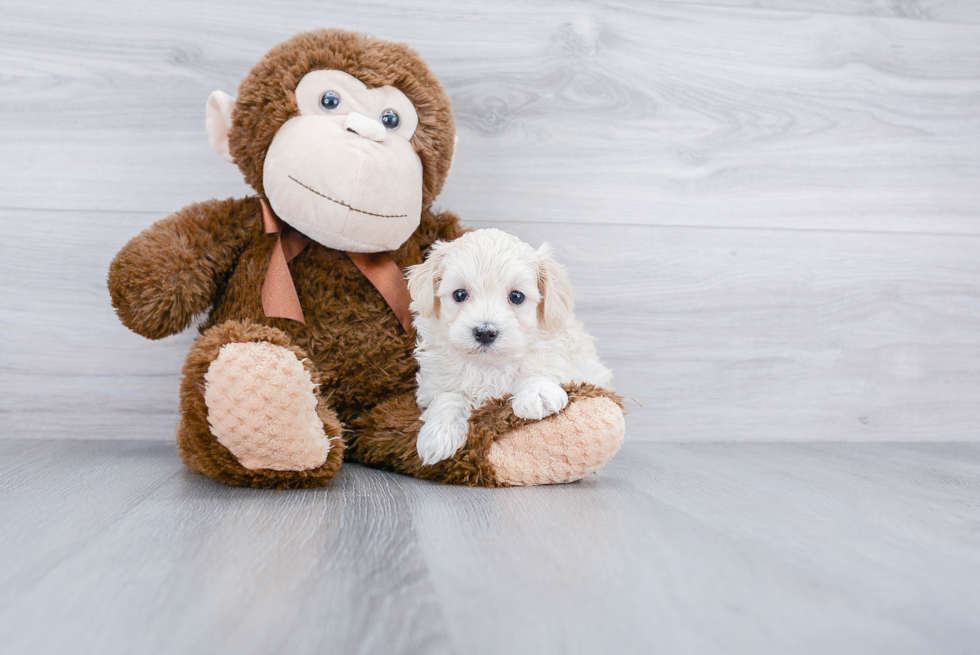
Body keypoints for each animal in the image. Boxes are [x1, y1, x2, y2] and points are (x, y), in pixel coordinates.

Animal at [406, 228, 612, 464]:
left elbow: (539, 367)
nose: (485, 332)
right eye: (460, 294)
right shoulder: (435, 382)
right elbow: (449, 396)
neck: (489, 365)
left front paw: (538, 393)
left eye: (516, 296)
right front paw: (439, 433)